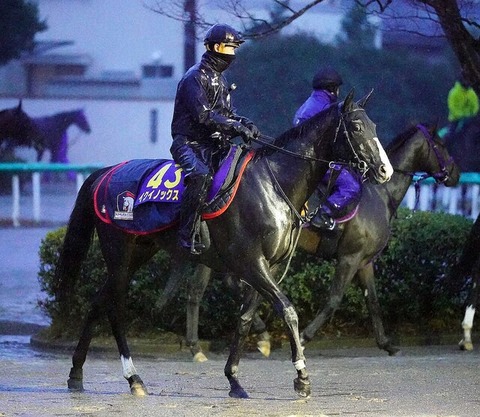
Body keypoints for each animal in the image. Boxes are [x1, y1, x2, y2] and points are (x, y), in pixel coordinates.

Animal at [55, 90, 394, 396]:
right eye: (357, 127)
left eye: (374, 125)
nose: (384, 170)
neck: (272, 185)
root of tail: (104, 173)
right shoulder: (252, 262)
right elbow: (287, 310)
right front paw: (301, 377)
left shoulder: (271, 265)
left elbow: (245, 317)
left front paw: (234, 379)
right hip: (119, 252)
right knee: (115, 308)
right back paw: (133, 378)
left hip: (139, 251)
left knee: (98, 302)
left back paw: (76, 373)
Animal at [159, 122, 460, 360]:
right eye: (441, 144)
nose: (455, 173)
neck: (379, 194)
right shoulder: (349, 258)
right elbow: (333, 300)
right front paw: (303, 337)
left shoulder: (365, 262)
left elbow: (373, 302)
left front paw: (387, 343)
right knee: (203, 290)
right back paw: (205, 344)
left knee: (210, 288)